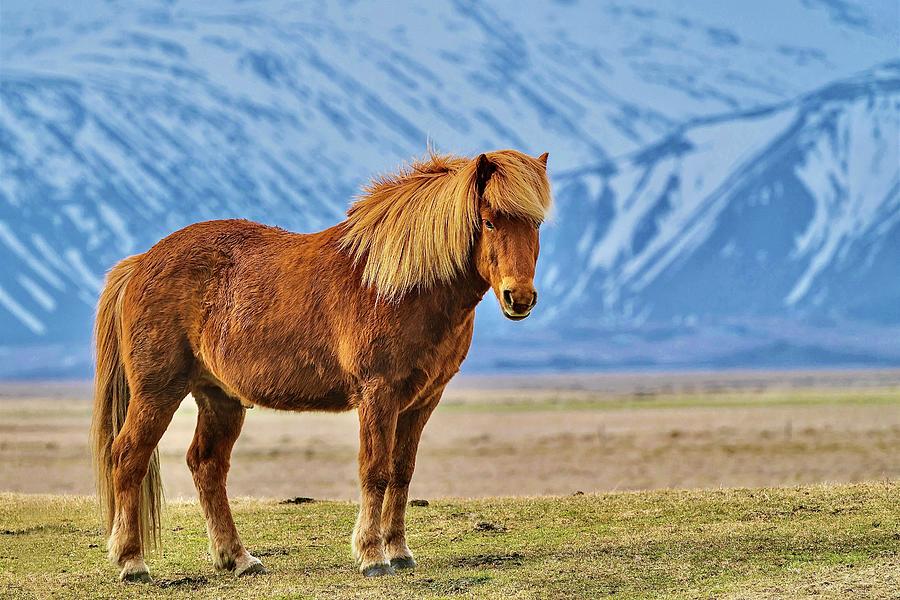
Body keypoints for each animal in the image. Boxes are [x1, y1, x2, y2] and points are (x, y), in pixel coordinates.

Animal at [89, 149, 548, 580]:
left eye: (536, 224)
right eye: (489, 221)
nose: (519, 298)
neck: (401, 285)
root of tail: (141, 262)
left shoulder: (422, 401)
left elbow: (402, 472)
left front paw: (399, 552)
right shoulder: (378, 394)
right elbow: (375, 470)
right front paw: (372, 556)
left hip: (219, 398)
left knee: (207, 465)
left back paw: (238, 558)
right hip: (158, 392)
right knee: (129, 456)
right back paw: (132, 562)